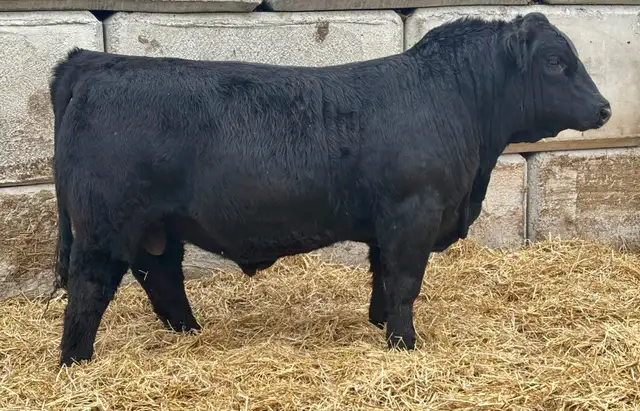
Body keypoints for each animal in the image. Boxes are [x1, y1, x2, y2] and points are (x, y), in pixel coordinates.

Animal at [50, 12, 611, 367]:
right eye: (556, 62)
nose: (605, 108)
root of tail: (94, 63)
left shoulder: (388, 224)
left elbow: (382, 277)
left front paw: (380, 326)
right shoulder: (413, 213)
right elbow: (405, 281)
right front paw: (404, 343)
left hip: (156, 227)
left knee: (161, 277)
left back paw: (190, 333)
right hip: (105, 226)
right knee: (89, 289)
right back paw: (76, 363)